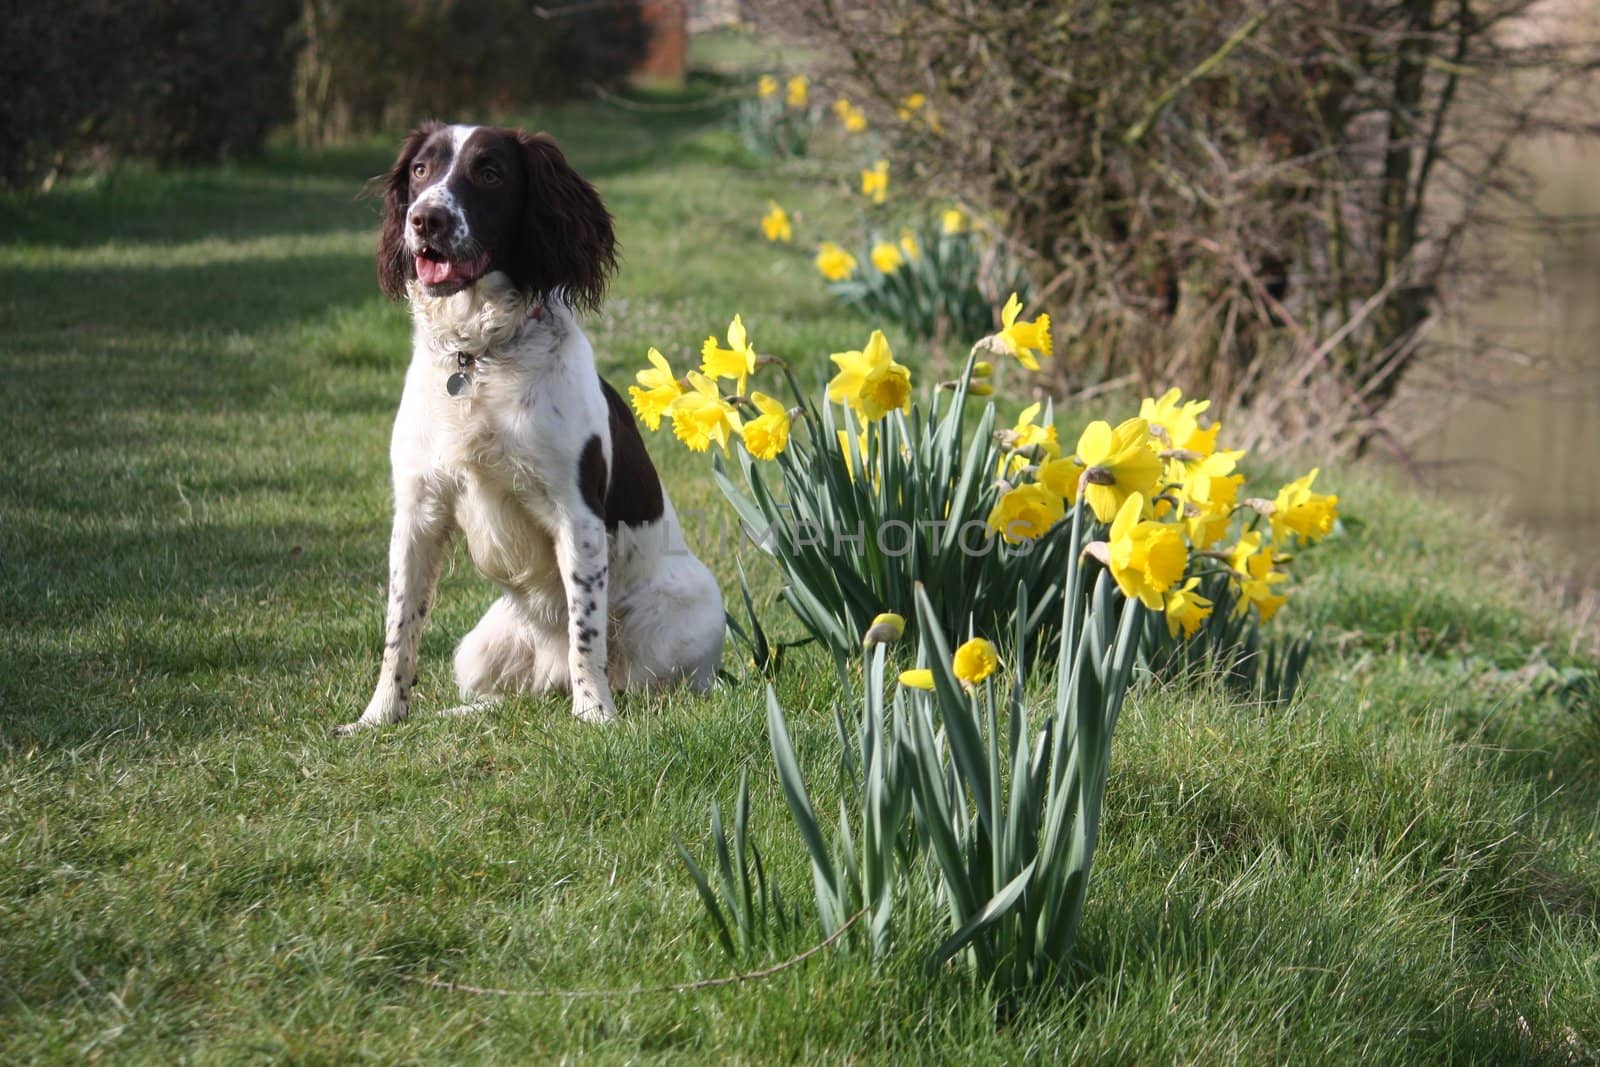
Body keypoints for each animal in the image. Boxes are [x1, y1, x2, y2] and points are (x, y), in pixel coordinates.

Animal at [337, 120, 726, 729]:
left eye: (490, 173)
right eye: (421, 170)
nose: (425, 218)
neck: (478, 357)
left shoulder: (577, 514)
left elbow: (586, 631)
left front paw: (595, 716)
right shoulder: (417, 512)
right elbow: (400, 627)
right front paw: (378, 718)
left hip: (690, 609)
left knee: (638, 680)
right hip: (480, 646)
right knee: (514, 698)